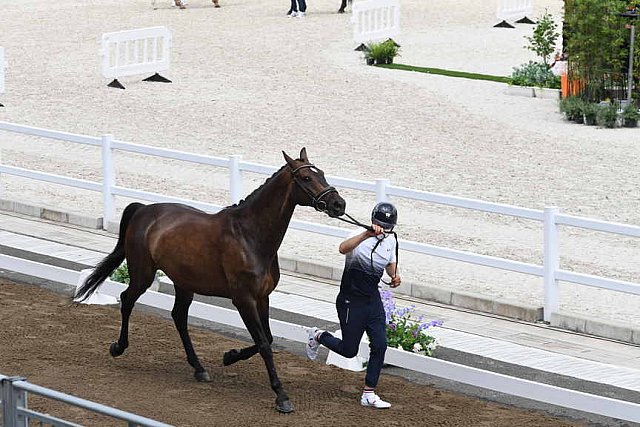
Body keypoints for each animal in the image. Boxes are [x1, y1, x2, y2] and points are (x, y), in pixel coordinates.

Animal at [75, 149, 348, 412]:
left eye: (322, 174)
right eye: (306, 177)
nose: (338, 203)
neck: (250, 235)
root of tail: (143, 210)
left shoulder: (262, 297)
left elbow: (268, 339)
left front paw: (230, 356)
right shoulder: (244, 300)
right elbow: (263, 343)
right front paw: (281, 396)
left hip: (183, 283)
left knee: (178, 317)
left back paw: (199, 368)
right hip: (143, 274)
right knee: (127, 299)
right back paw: (118, 347)